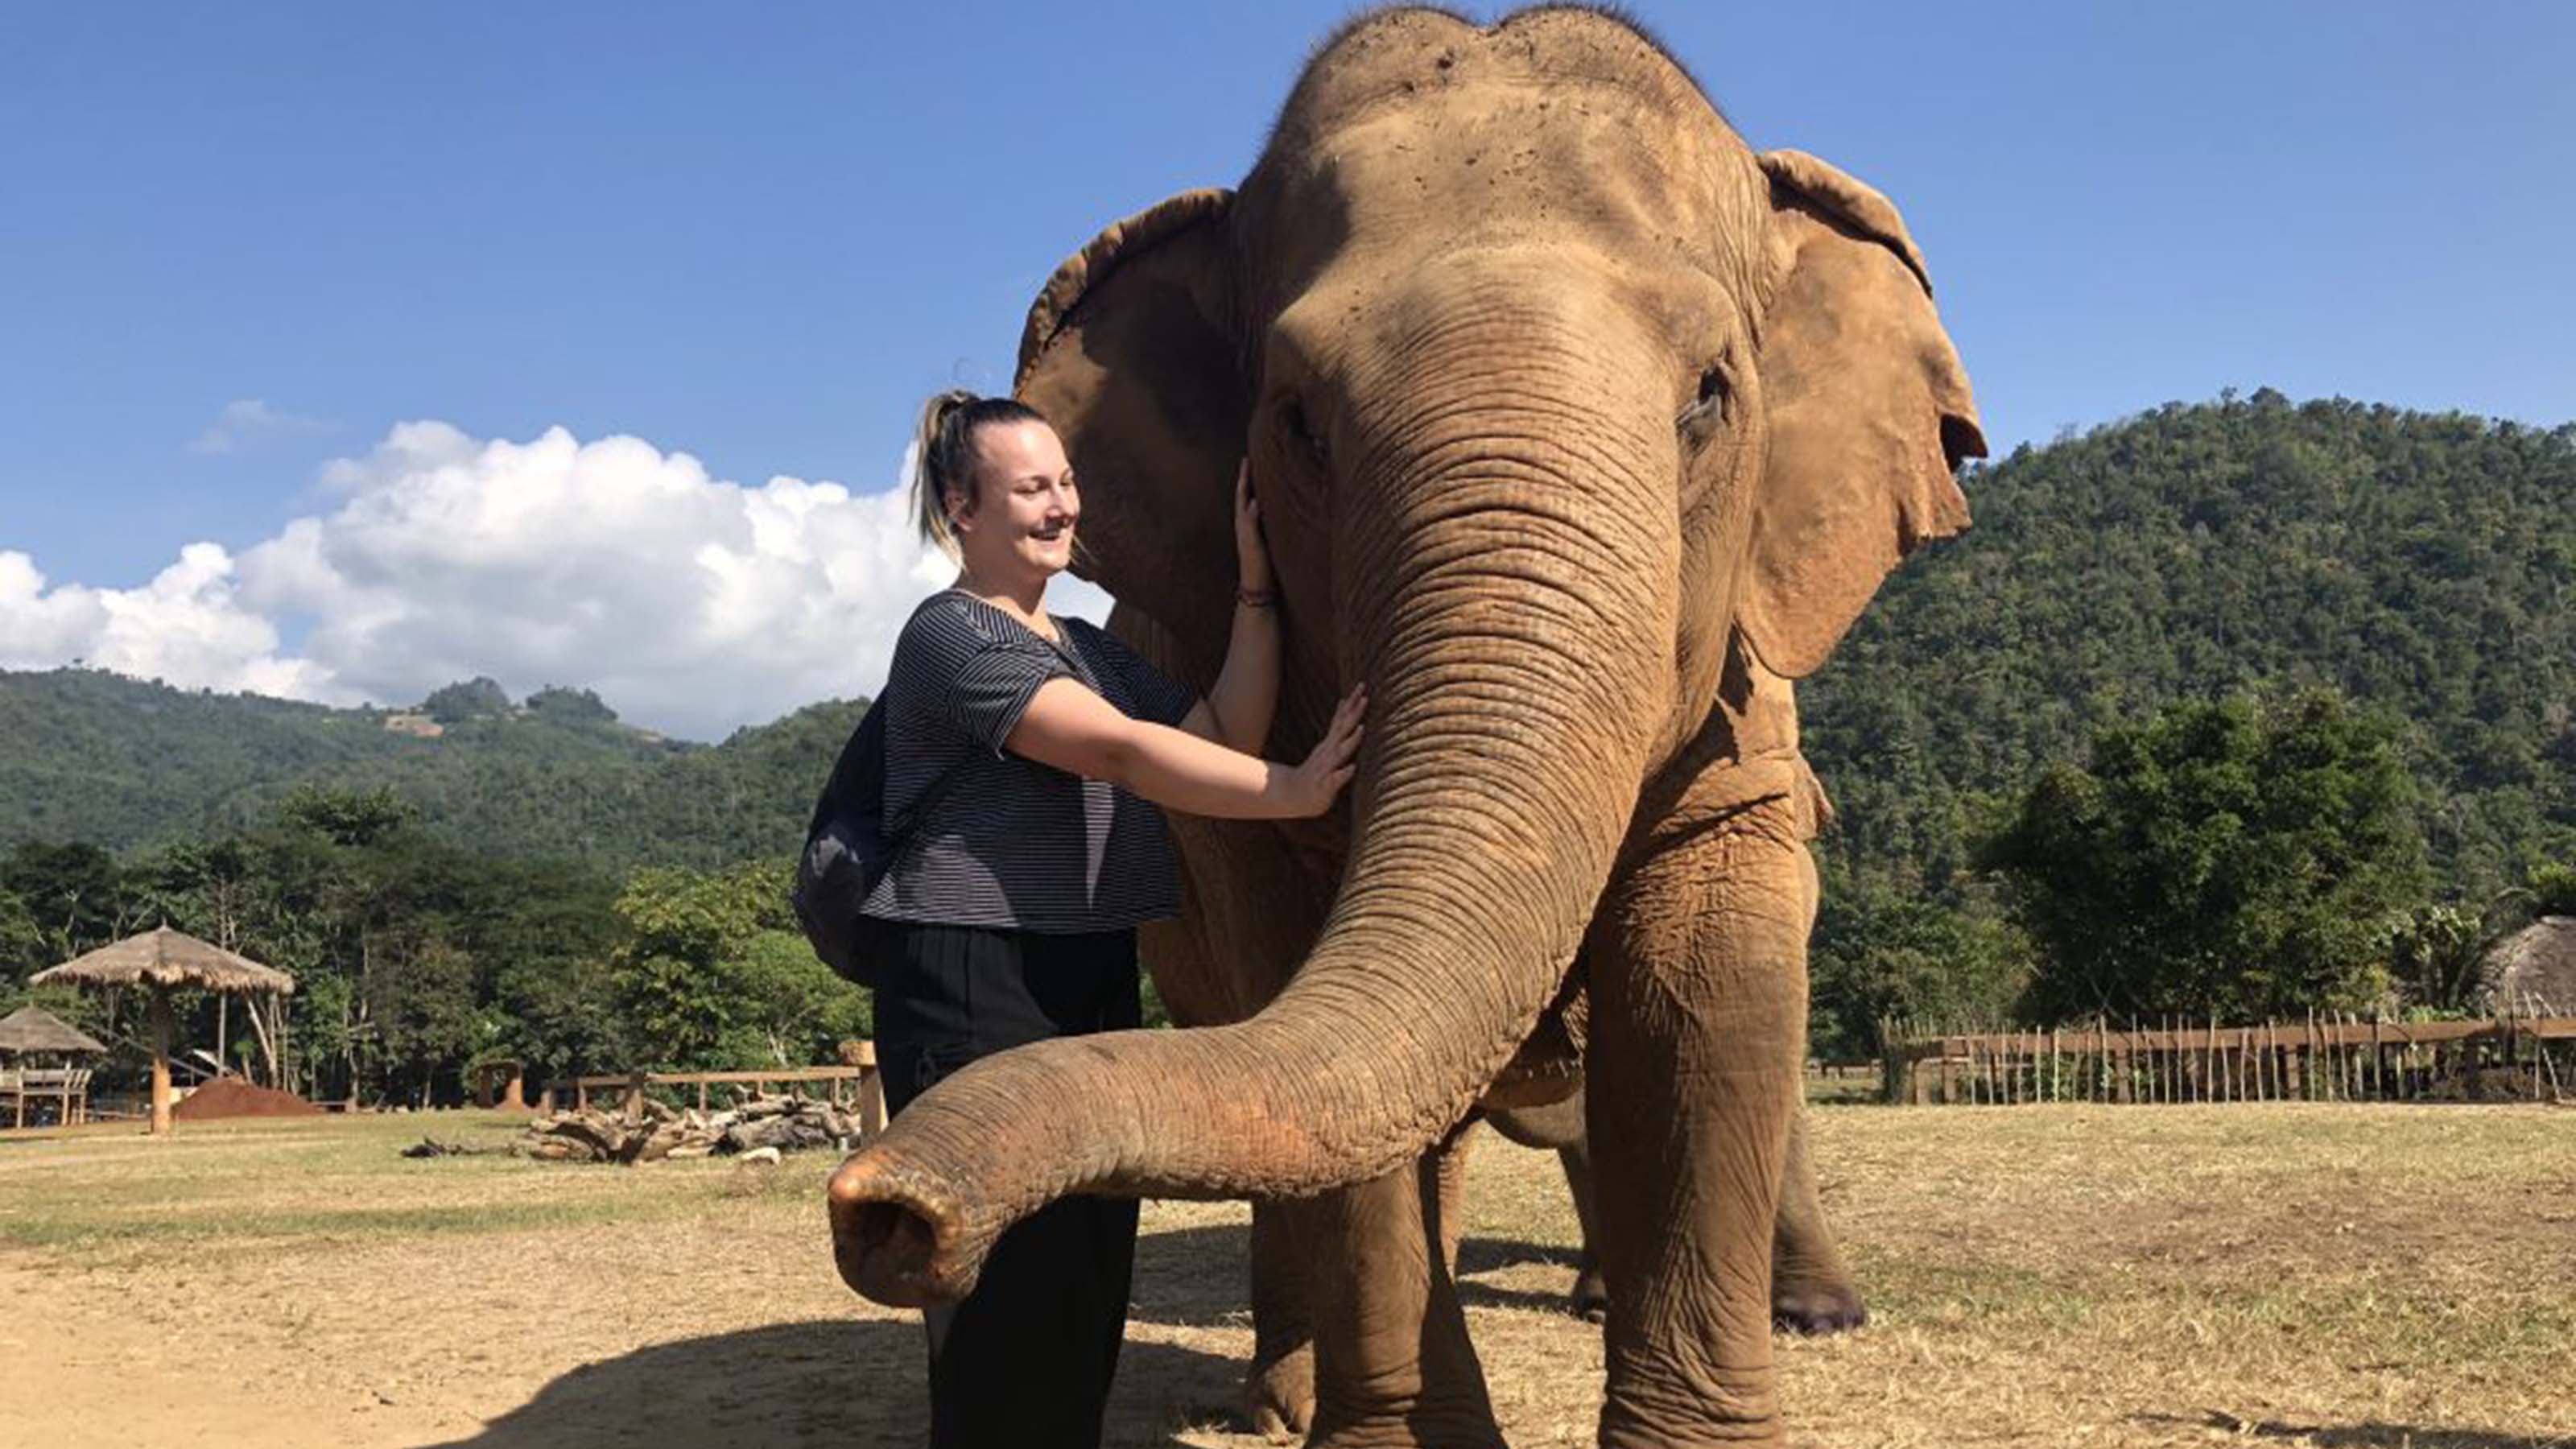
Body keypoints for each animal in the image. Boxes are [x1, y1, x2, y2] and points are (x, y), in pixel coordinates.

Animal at [834, 11, 1978, 1443]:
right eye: (1297, 423)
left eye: (1713, 392)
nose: (882, 1215)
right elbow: (1303, 1016)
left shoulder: (1747, 689)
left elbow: (1714, 1002)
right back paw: (1286, 1403)